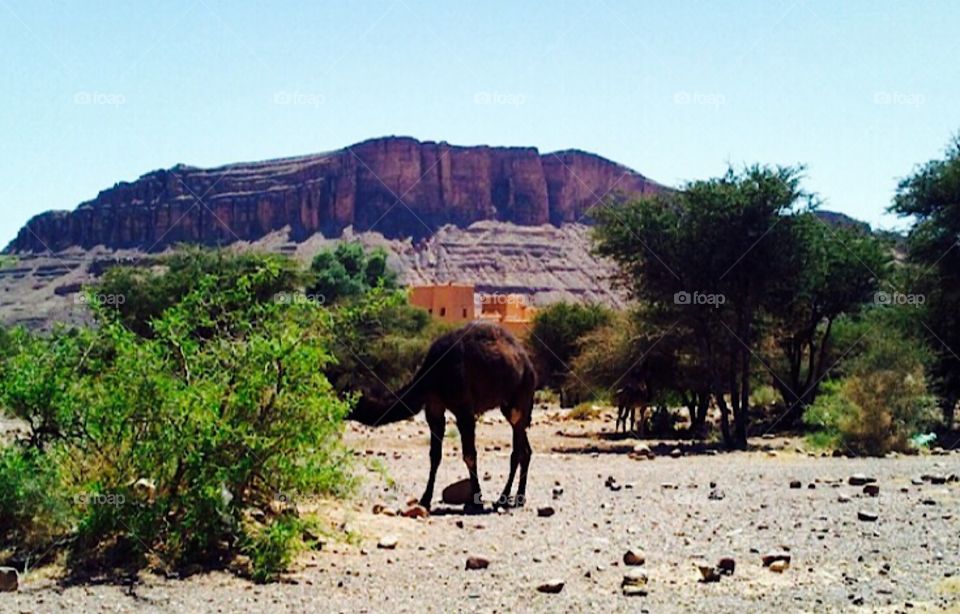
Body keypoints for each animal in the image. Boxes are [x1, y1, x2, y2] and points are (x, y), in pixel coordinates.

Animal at [349, 321, 537, 511]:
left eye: (349, 399)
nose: (342, 412)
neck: (433, 375)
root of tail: (528, 364)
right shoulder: (434, 406)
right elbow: (435, 455)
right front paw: (425, 499)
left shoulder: (463, 409)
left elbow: (469, 455)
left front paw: (476, 502)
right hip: (508, 405)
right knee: (525, 449)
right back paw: (519, 498)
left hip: (520, 395)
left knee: (516, 451)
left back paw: (503, 499)